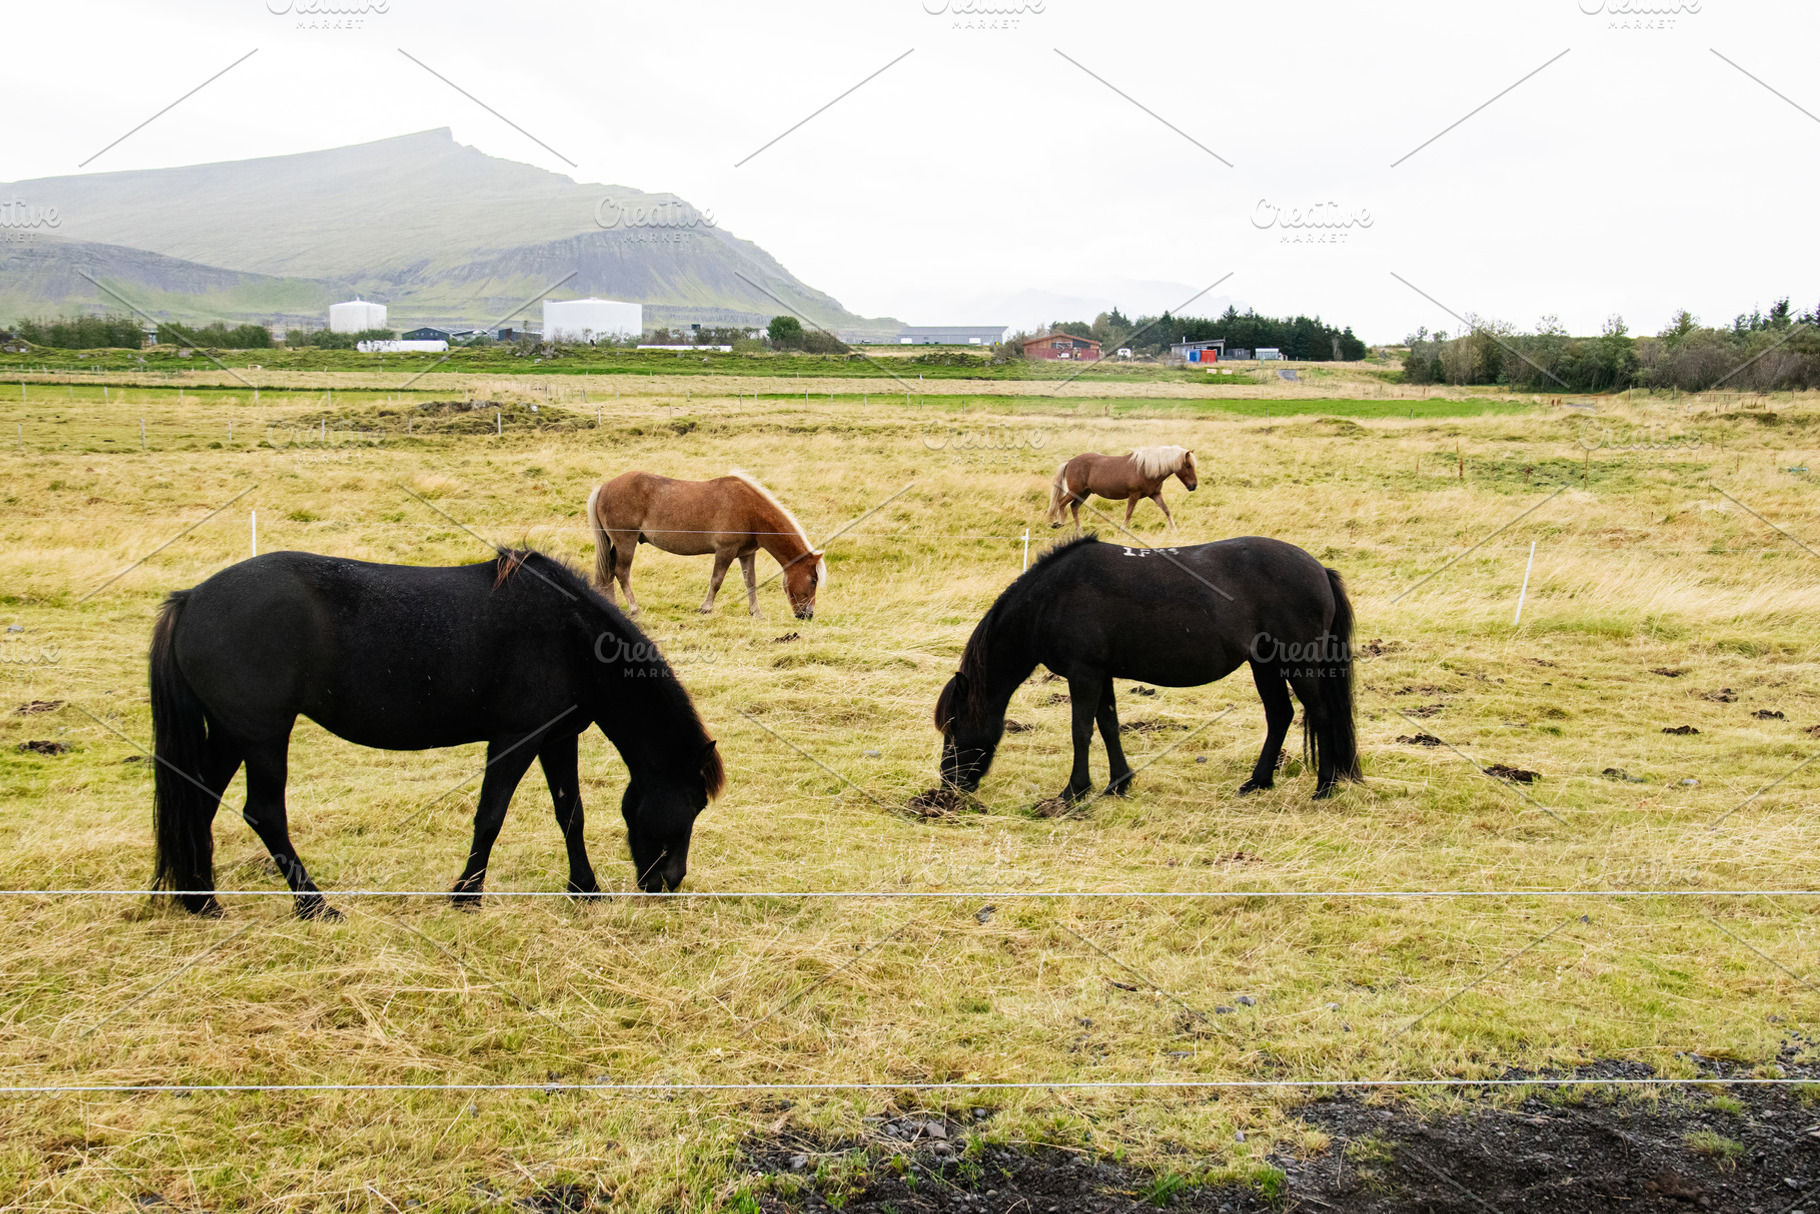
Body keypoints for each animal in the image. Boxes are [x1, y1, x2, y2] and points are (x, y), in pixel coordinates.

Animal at [149, 549, 725, 919]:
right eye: (694, 803)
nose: (667, 884)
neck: (570, 636)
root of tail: (190, 599)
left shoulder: (558, 739)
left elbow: (571, 814)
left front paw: (584, 891)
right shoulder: (515, 739)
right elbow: (490, 817)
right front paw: (466, 895)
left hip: (230, 736)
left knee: (200, 802)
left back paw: (202, 902)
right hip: (263, 738)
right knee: (265, 813)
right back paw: (314, 905)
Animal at [587, 470, 826, 619]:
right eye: (813, 580)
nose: (807, 615)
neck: (750, 511)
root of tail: (604, 487)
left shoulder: (746, 554)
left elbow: (750, 582)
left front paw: (756, 613)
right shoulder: (725, 551)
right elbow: (716, 581)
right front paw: (706, 608)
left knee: (609, 571)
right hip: (626, 542)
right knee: (621, 572)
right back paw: (634, 608)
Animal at [934, 534, 1359, 804]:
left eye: (954, 726)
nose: (949, 786)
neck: (1051, 598)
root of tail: (1319, 569)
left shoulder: (1083, 673)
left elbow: (1081, 730)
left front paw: (1074, 791)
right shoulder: (1100, 674)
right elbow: (1107, 725)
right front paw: (1117, 784)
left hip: (1298, 664)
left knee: (1320, 715)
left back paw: (1323, 788)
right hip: (1265, 665)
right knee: (1280, 715)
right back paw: (1257, 782)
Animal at [1046, 446, 1199, 531]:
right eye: (1188, 465)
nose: (1193, 486)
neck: (1146, 469)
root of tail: (1070, 462)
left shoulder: (1155, 494)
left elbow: (1166, 510)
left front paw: (1174, 529)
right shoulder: (1134, 495)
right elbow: (1129, 513)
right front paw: (1123, 528)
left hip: (1084, 493)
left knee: (1074, 507)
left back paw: (1079, 529)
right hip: (1075, 491)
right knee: (1061, 503)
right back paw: (1060, 524)